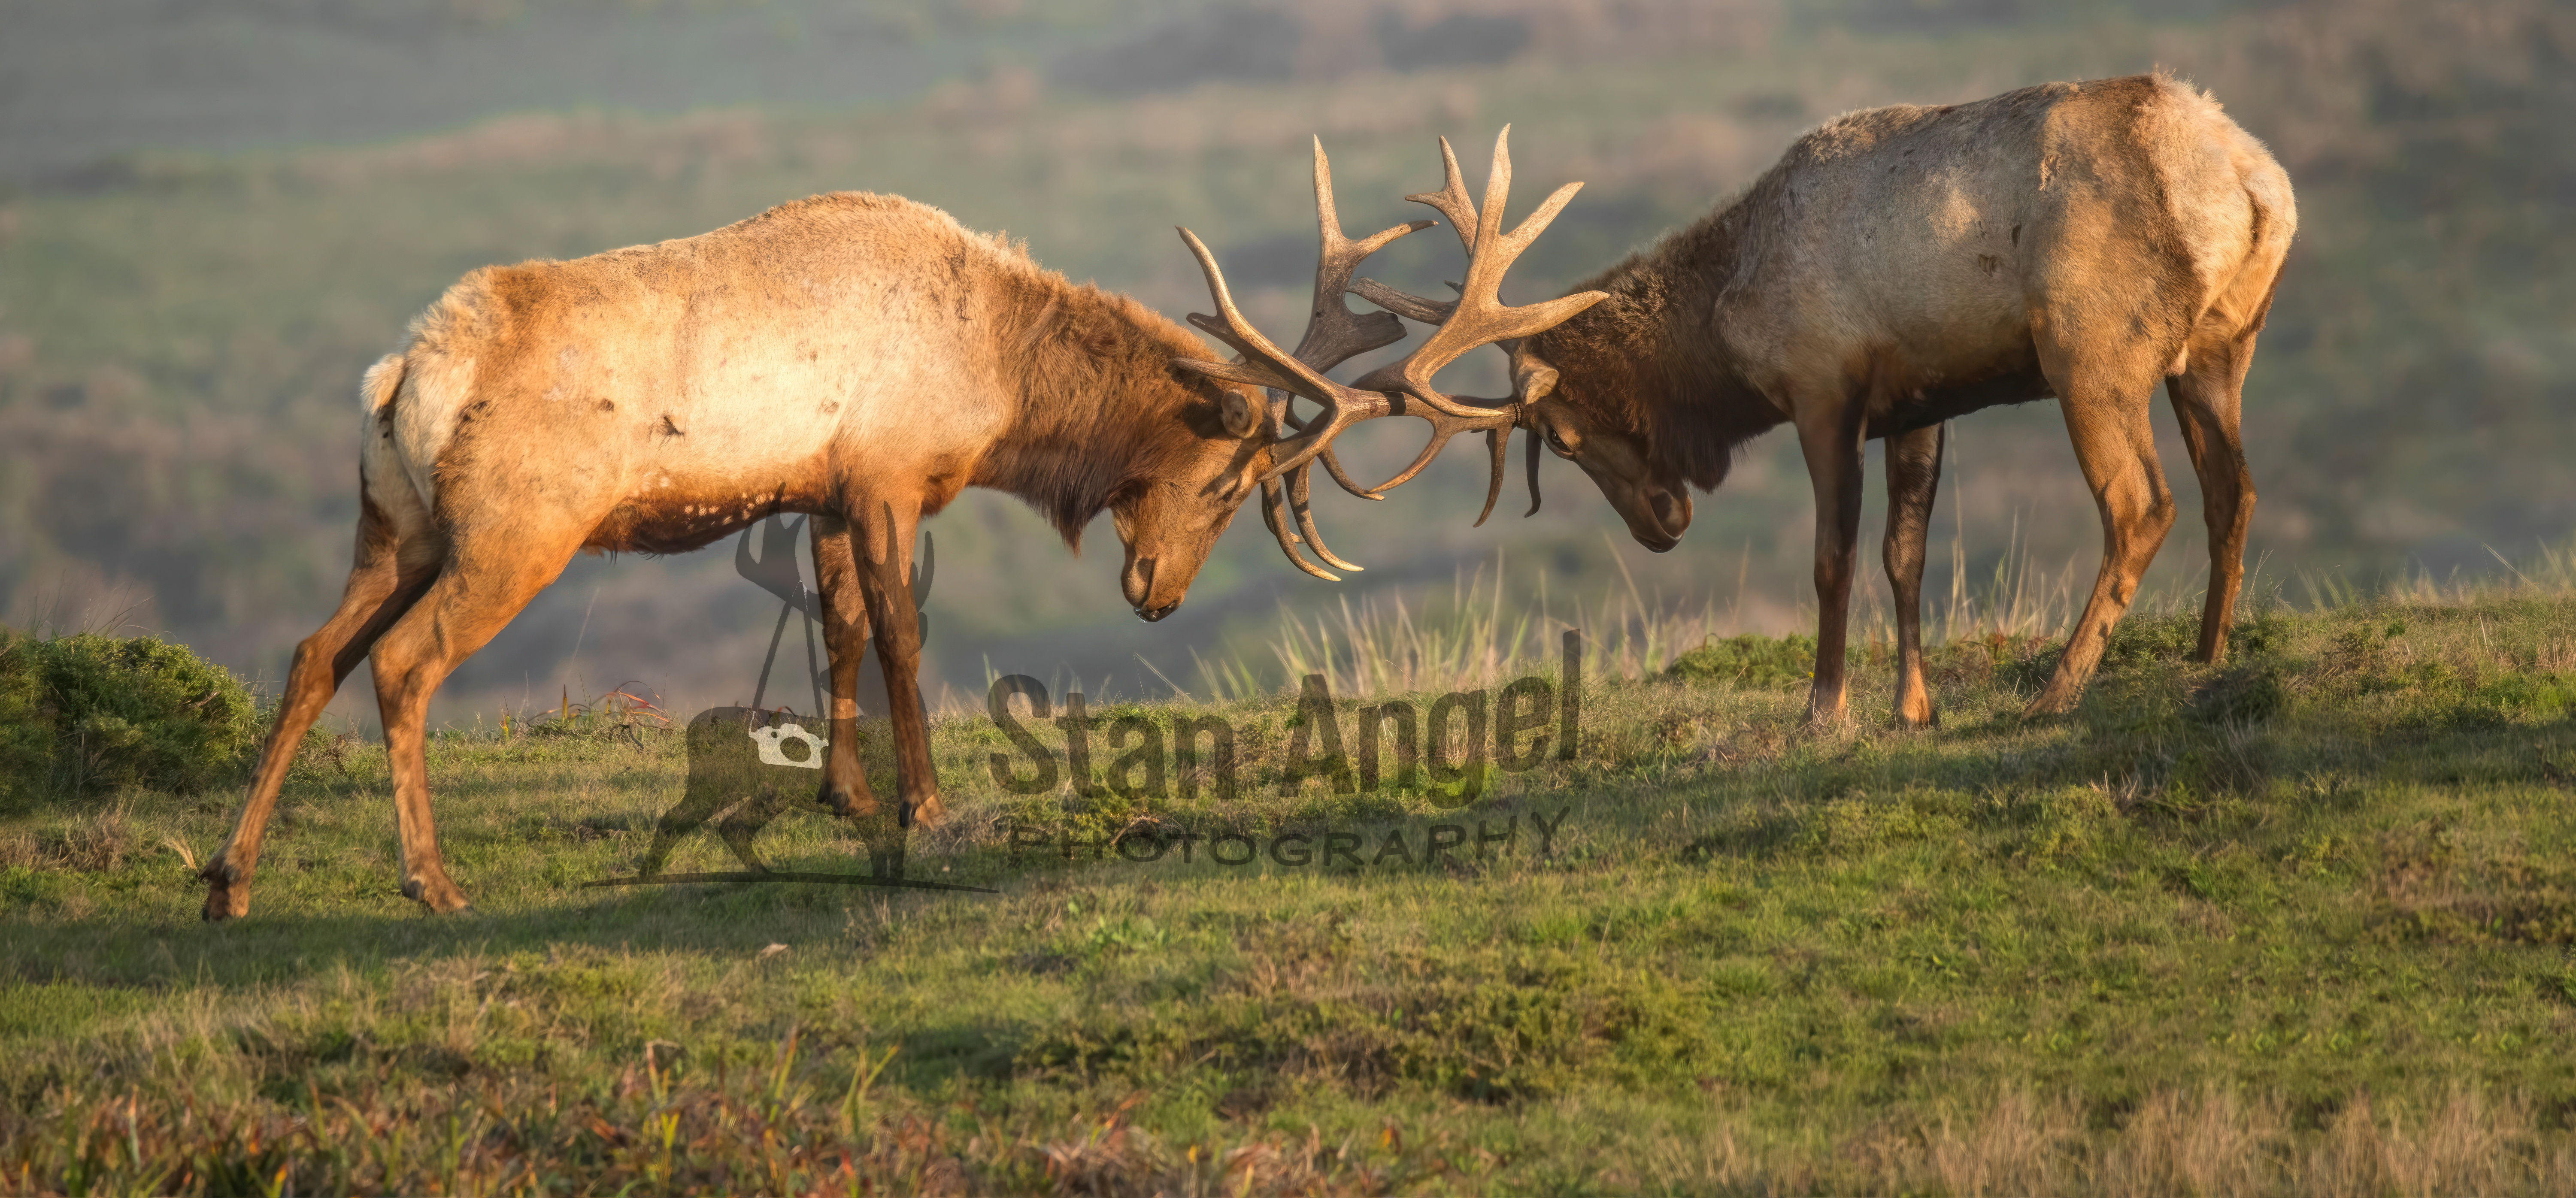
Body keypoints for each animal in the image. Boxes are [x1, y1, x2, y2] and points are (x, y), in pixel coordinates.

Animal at [199, 138, 1605, 920]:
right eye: (1220, 478)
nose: (1155, 593)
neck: (998, 385)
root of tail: (403, 375)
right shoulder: (882, 477)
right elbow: (902, 637)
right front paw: (925, 803)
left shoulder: (817, 492)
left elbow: (836, 636)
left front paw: (847, 793)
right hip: (512, 530)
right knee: (400, 664)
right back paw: (430, 881)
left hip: (392, 524)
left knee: (310, 654)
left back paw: (228, 878)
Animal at [1346, 75, 2297, 727]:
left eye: (1562, 436)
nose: (1662, 524)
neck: (1724, 315)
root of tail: (2255, 184)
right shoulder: (1920, 402)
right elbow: (1904, 554)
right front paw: (1912, 708)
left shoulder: (1822, 389)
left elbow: (1832, 557)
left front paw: (1824, 705)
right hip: (2219, 349)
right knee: (2233, 489)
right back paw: (2206, 653)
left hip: (2091, 353)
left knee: (2142, 505)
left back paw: (2056, 692)